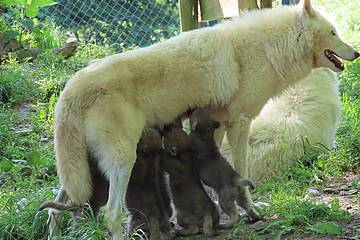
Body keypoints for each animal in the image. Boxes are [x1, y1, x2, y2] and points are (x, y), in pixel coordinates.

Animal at [51, 0, 358, 238]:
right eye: (333, 32)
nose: (355, 52)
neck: (264, 48)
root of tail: (70, 89)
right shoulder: (240, 123)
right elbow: (241, 172)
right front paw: (250, 211)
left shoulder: (216, 126)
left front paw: (220, 211)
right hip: (122, 162)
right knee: (111, 213)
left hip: (80, 171)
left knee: (58, 207)